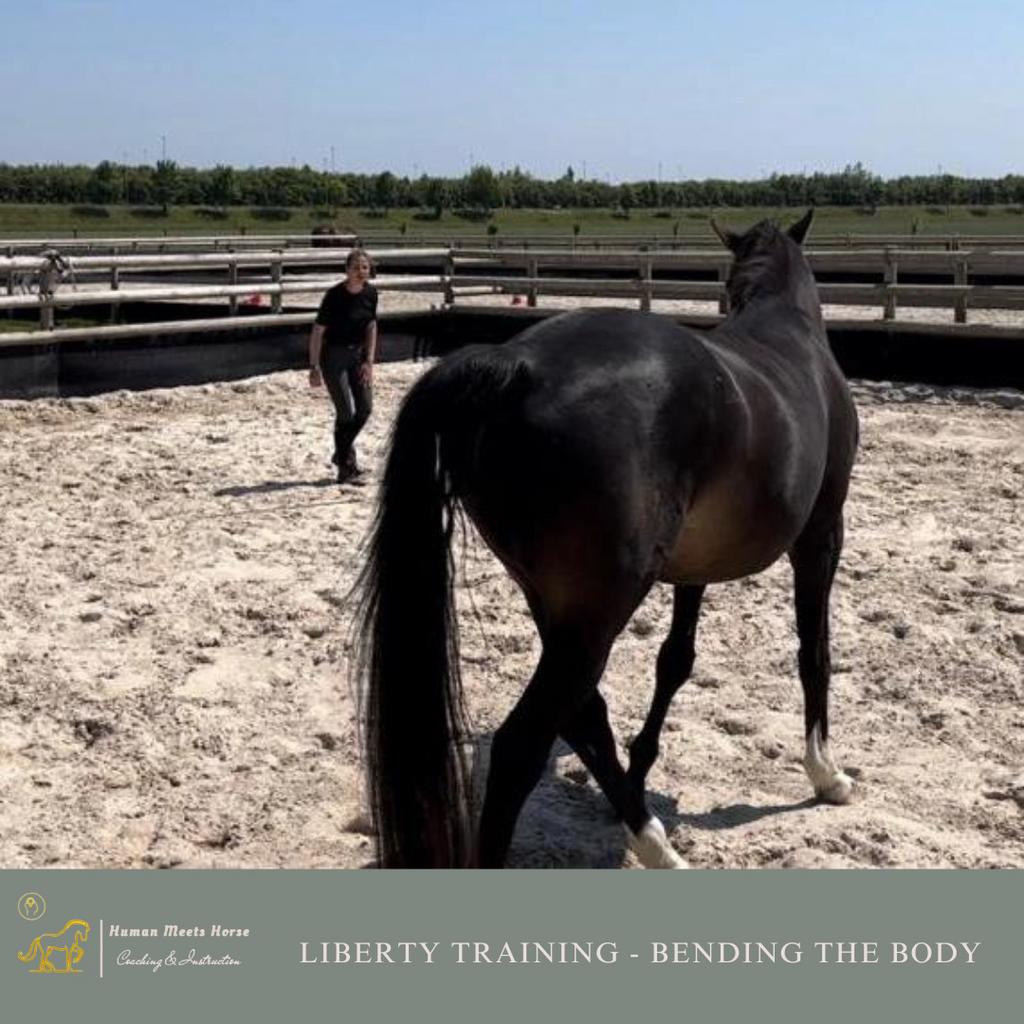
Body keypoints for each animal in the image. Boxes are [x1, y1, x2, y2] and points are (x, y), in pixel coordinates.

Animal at [354, 209, 859, 868]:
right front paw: (826, 772)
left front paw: (642, 767)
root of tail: (517, 366)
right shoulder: (822, 534)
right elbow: (813, 651)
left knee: (583, 712)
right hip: (603, 606)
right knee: (524, 743)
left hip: (557, 604)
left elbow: (675, 660)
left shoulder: (693, 566)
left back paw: (648, 835)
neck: (786, 325)